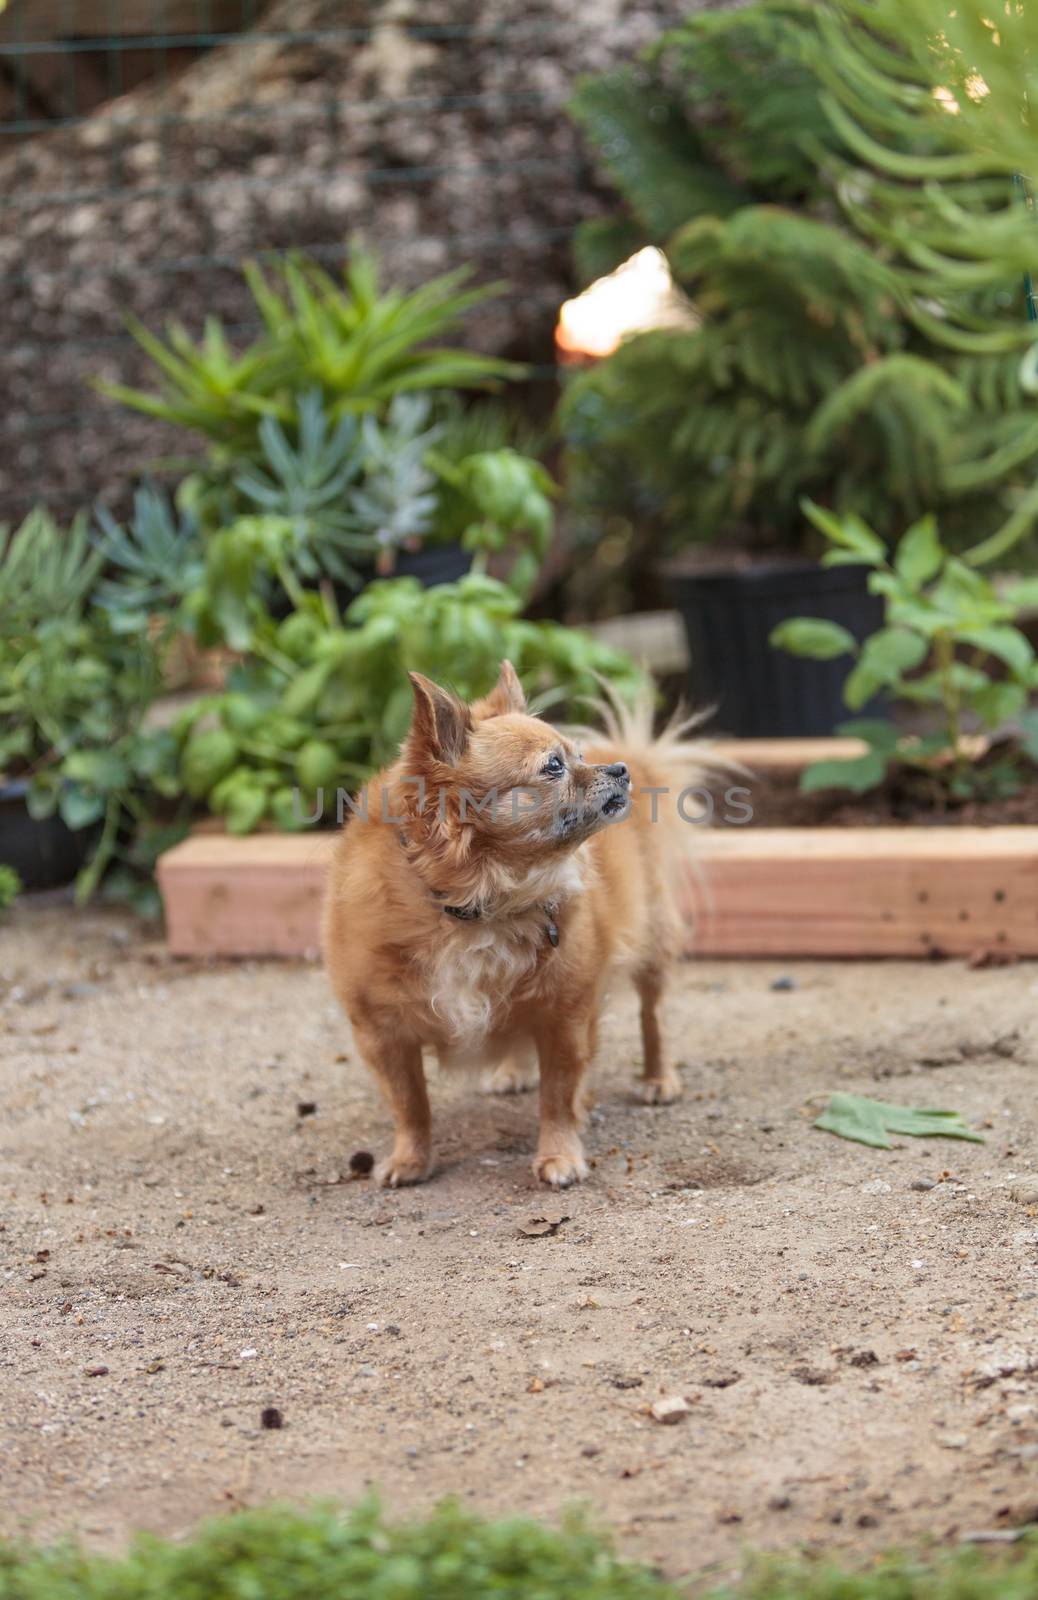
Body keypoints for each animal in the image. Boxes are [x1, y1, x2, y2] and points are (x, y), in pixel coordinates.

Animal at [326, 662, 703, 1190]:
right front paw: (410, 1159)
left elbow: (558, 1096)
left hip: (652, 942)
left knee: (655, 1014)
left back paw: (658, 1078)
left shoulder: (565, 1016)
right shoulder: (382, 1032)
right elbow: (409, 1102)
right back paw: (513, 1070)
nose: (618, 770)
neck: (476, 906)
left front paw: (559, 1155)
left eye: (580, 756)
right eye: (554, 766)